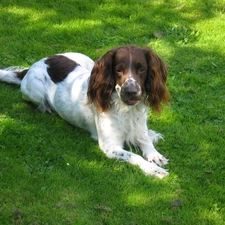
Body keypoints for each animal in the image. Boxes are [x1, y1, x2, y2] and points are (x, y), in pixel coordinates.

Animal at [0, 46, 169, 178]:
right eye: (118, 70)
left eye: (142, 69)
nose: (131, 91)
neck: (127, 110)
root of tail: (35, 64)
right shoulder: (110, 146)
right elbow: (134, 156)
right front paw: (154, 170)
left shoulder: (140, 126)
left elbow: (145, 140)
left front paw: (155, 155)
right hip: (35, 90)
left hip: (88, 61)